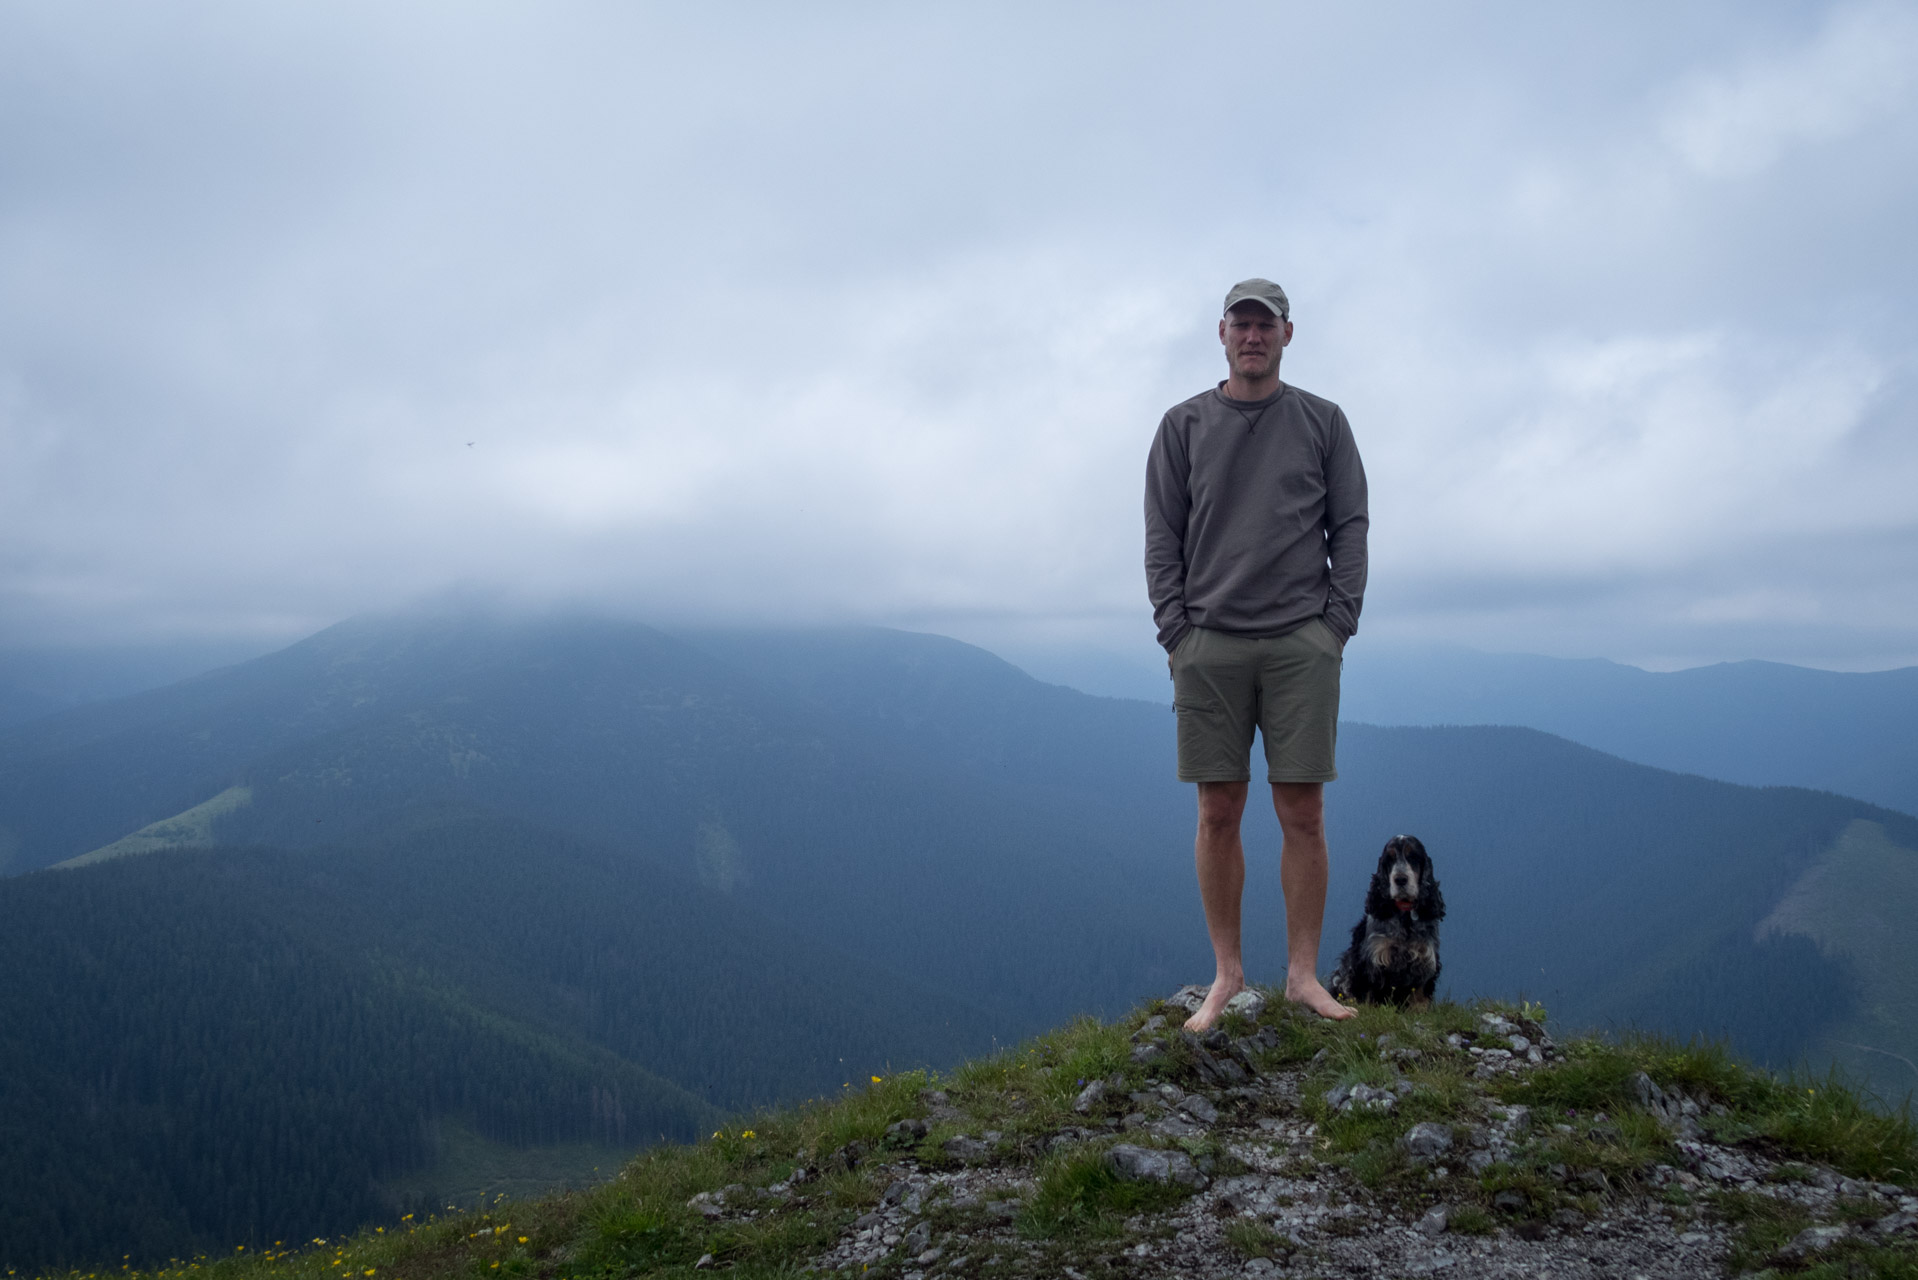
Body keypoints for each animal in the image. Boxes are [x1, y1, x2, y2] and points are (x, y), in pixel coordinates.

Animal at [1327, 840, 1442, 1013]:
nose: (1400, 879)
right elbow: (1369, 991)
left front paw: (1419, 1013)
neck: (1404, 917)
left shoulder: (1425, 959)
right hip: (1342, 974)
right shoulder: (1372, 959)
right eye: (1390, 859)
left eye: (1412, 857)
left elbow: (1420, 993)